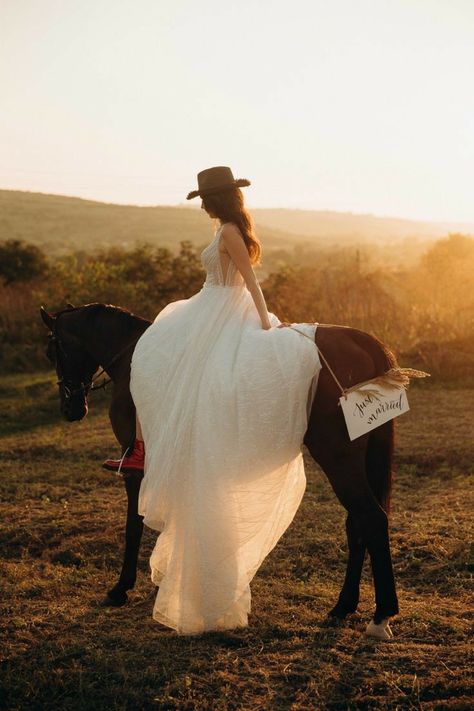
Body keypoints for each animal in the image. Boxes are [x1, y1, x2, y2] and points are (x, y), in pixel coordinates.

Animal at [41, 304, 400, 636]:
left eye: (53, 351)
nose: (70, 408)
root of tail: (363, 340)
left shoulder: (136, 467)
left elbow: (134, 524)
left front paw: (122, 588)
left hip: (336, 455)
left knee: (370, 517)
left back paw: (380, 616)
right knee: (357, 523)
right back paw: (344, 606)